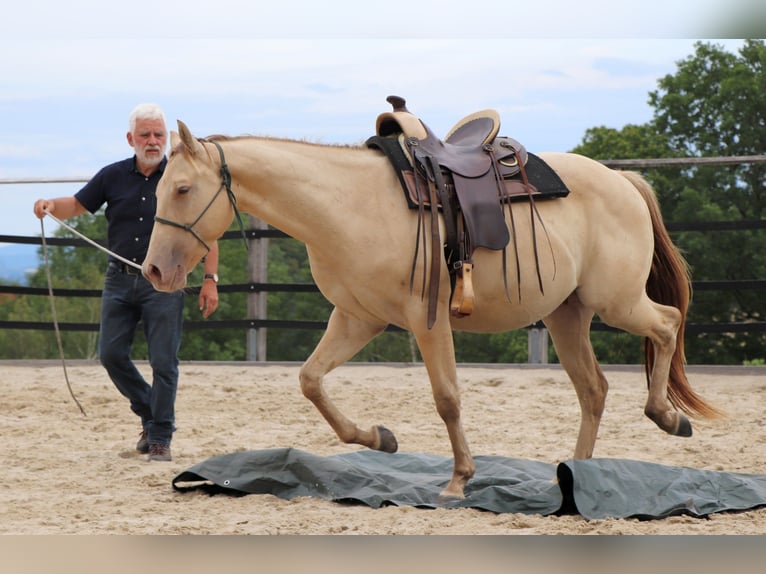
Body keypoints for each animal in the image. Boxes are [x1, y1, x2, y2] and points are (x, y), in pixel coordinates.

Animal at [142, 119, 722, 500]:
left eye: (183, 188)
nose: (153, 271)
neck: (347, 203)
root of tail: (623, 180)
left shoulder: (428, 318)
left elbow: (447, 398)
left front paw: (459, 480)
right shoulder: (356, 318)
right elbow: (310, 380)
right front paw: (378, 438)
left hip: (615, 301)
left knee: (667, 324)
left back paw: (666, 416)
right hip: (567, 314)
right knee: (594, 388)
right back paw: (575, 476)